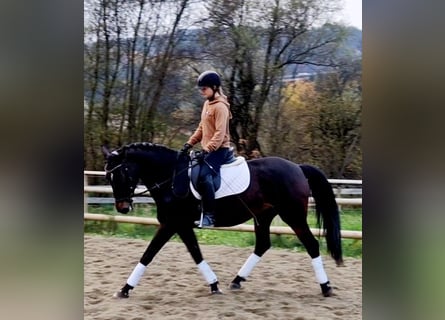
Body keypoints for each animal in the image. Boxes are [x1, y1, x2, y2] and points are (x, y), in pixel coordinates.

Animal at [101, 142, 344, 298]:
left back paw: (326, 287)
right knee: (262, 245)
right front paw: (214, 285)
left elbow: (149, 254)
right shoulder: (180, 225)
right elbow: (195, 253)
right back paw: (237, 281)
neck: (171, 177)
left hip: (293, 215)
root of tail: (297, 168)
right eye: (108, 176)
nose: (123, 207)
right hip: (263, 216)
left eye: (121, 173)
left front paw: (125, 289)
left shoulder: (172, 224)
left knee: (311, 245)